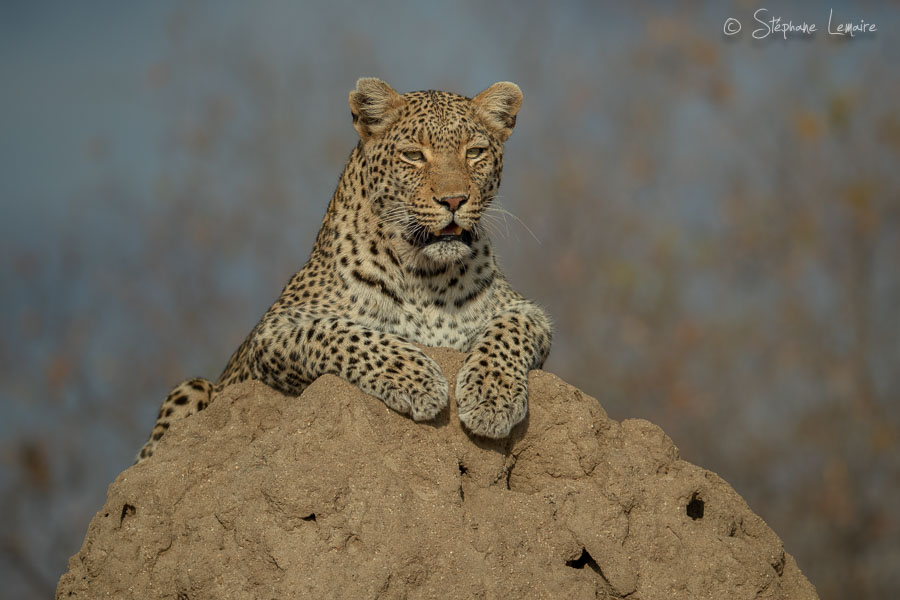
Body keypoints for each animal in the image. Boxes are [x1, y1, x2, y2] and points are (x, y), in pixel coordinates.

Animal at [137, 78, 552, 463]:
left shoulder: (527, 311)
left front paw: (492, 397)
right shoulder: (273, 330)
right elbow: (342, 332)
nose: (453, 200)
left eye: (475, 152)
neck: (427, 277)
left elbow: (508, 330)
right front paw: (416, 379)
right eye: (413, 155)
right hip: (190, 390)